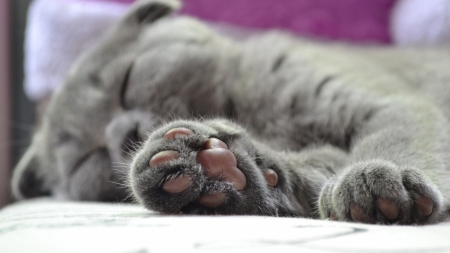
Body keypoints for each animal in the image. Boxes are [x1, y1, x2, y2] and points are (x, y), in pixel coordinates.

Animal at [9, 0, 450, 225]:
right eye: (87, 158)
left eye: (126, 81)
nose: (124, 134)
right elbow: (314, 164)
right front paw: (230, 168)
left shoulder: (387, 102)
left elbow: (394, 133)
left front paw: (377, 177)